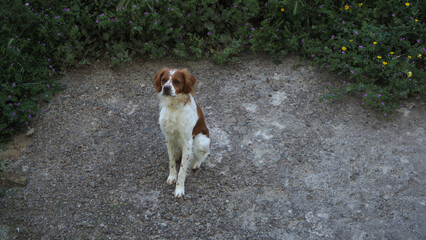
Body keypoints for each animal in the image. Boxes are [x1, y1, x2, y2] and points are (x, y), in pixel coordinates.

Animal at [155, 68, 211, 199]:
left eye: (177, 81)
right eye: (163, 80)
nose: (166, 88)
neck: (173, 106)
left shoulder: (187, 142)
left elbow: (182, 169)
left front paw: (179, 189)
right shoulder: (169, 138)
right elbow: (171, 161)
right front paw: (172, 177)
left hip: (201, 140)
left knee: (205, 153)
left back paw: (196, 163)